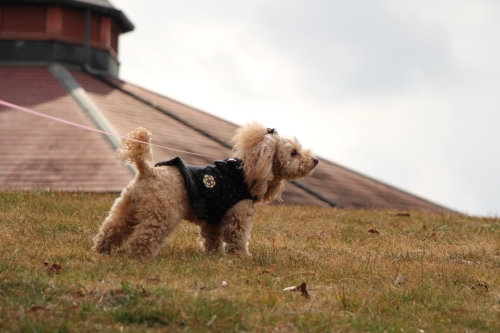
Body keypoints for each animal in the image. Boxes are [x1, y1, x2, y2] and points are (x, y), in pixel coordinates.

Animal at [92, 122, 318, 256]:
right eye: (294, 153)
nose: (315, 160)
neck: (244, 174)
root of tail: (147, 171)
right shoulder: (238, 214)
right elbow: (237, 238)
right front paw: (242, 258)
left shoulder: (214, 219)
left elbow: (212, 238)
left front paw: (213, 255)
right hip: (161, 214)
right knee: (143, 237)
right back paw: (140, 257)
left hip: (127, 207)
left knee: (111, 229)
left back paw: (101, 251)